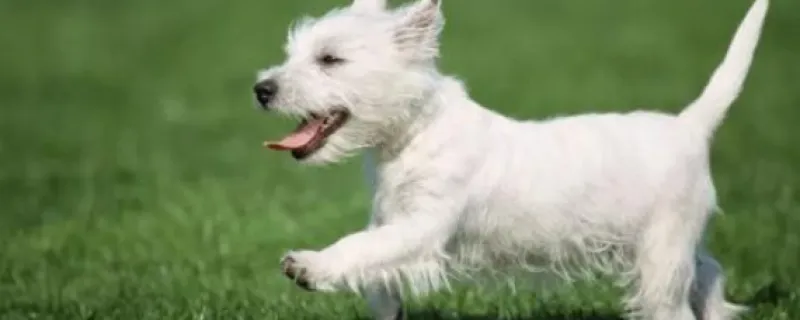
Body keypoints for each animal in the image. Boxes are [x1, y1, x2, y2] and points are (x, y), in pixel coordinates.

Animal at [255, 0, 768, 318]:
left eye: (330, 59)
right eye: (294, 54)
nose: (262, 89)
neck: (415, 133)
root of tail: (690, 126)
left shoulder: (424, 226)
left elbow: (359, 247)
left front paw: (309, 266)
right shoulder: (391, 220)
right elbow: (376, 265)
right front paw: (383, 305)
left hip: (662, 251)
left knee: (674, 303)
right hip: (676, 243)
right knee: (708, 273)